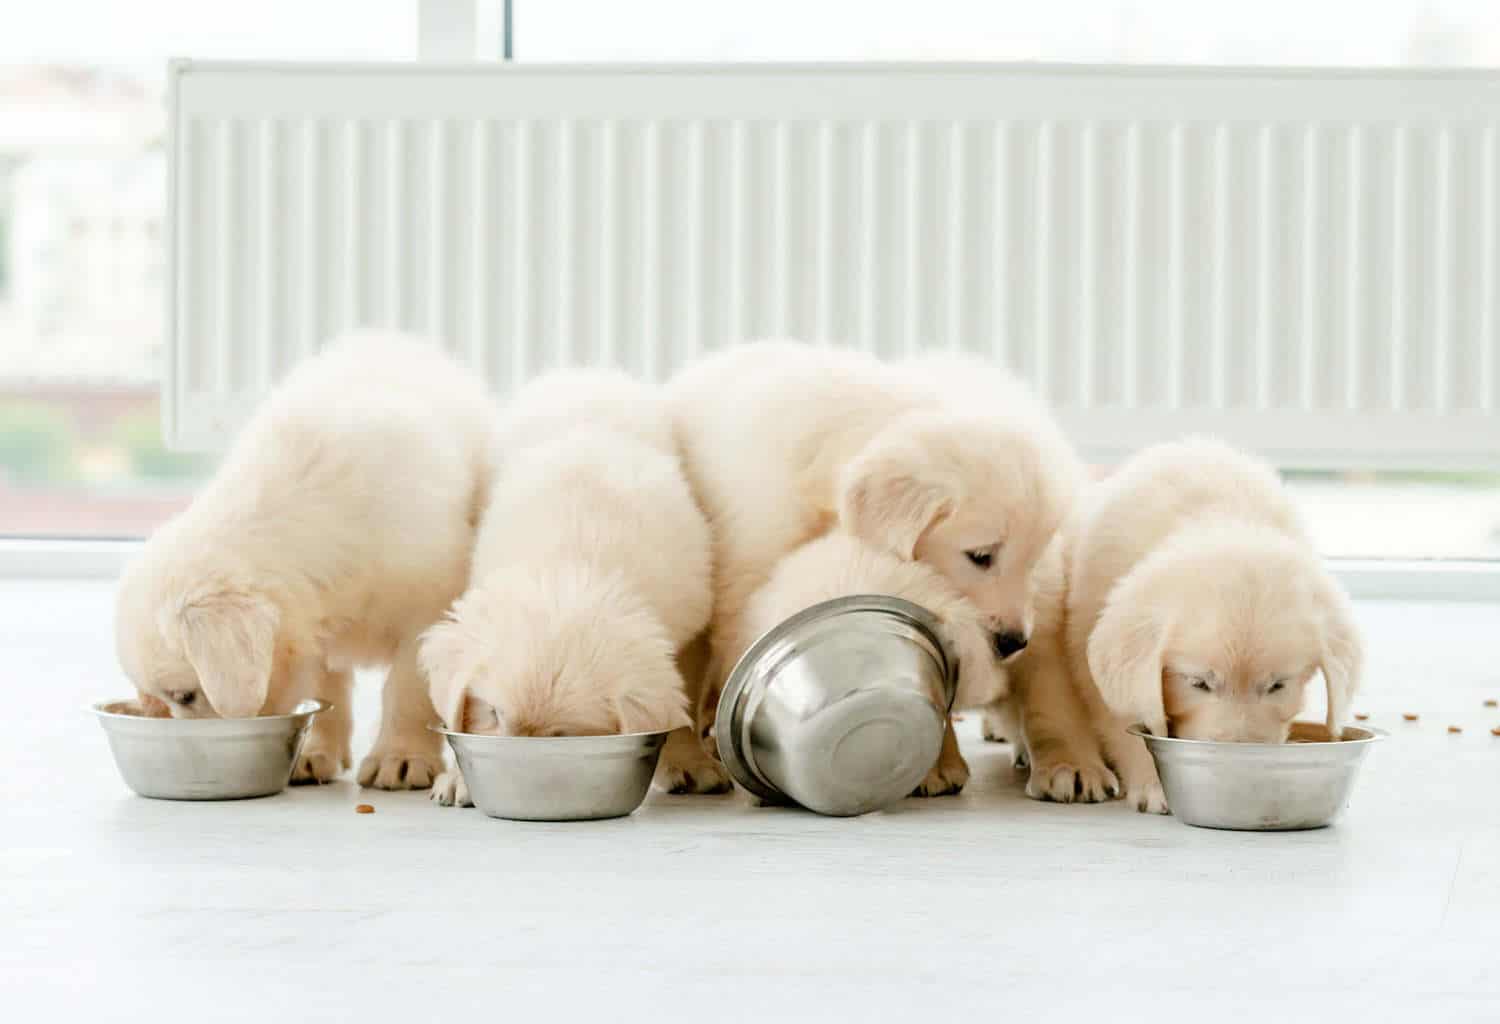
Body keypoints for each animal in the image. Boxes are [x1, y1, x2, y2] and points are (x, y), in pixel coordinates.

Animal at [115, 332, 498, 791]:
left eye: (185, 696)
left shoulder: (426, 610)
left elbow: (406, 689)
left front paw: (399, 756)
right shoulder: (315, 628)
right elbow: (327, 693)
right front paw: (316, 752)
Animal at [417, 370, 708, 809]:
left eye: (563, 737)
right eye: (493, 714)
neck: (573, 569)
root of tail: (584, 372)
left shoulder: (690, 624)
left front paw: (690, 762)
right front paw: (458, 779)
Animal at [1026, 437, 1368, 815]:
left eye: (1278, 686)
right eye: (1199, 684)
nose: (1238, 764)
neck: (1221, 516)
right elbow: (1132, 719)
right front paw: (1156, 784)